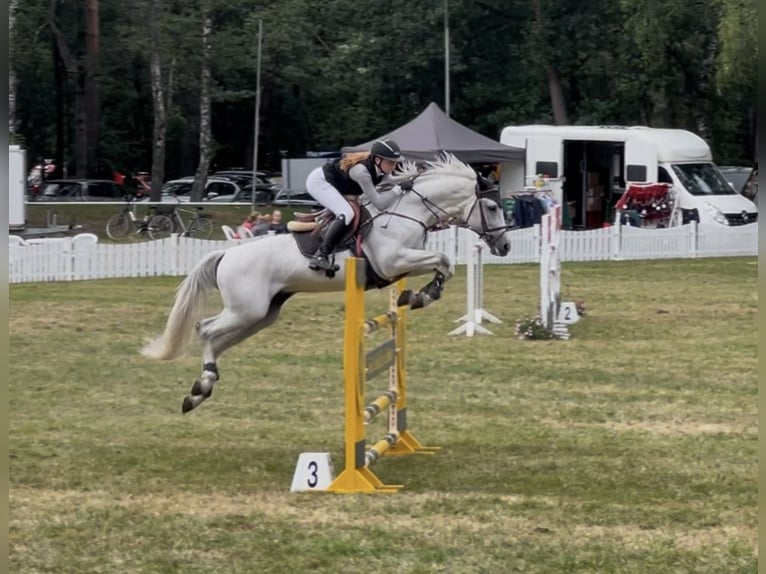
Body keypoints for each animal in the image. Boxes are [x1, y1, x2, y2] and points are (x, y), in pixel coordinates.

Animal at [142, 153, 513, 413]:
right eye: (492, 207)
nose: (505, 246)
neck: (408, 212)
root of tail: (225, 255)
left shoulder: (402, 263)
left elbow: (441, 265)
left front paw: (417, 295)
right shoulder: (393, 261)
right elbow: (443, 260)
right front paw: (423, 295)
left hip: (261, 314)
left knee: (218, 340)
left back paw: (200, 390)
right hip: (246, 309)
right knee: (205, 329)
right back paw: (202, 386)